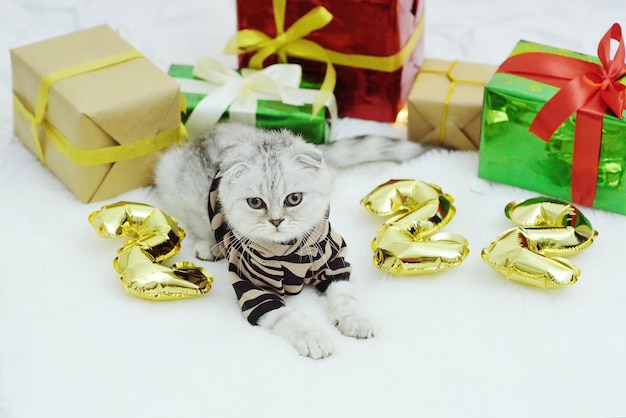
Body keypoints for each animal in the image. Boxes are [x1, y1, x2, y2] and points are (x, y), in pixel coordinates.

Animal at [152, 121, 424, 360]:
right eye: (255, 202)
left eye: (294, 199)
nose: (276, 221)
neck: (288, 251)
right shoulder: (256, 292)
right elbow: (291, 317)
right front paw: (314, 338)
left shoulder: (333, 265)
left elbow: (344, 297)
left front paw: (353, 319)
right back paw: (208, 245)